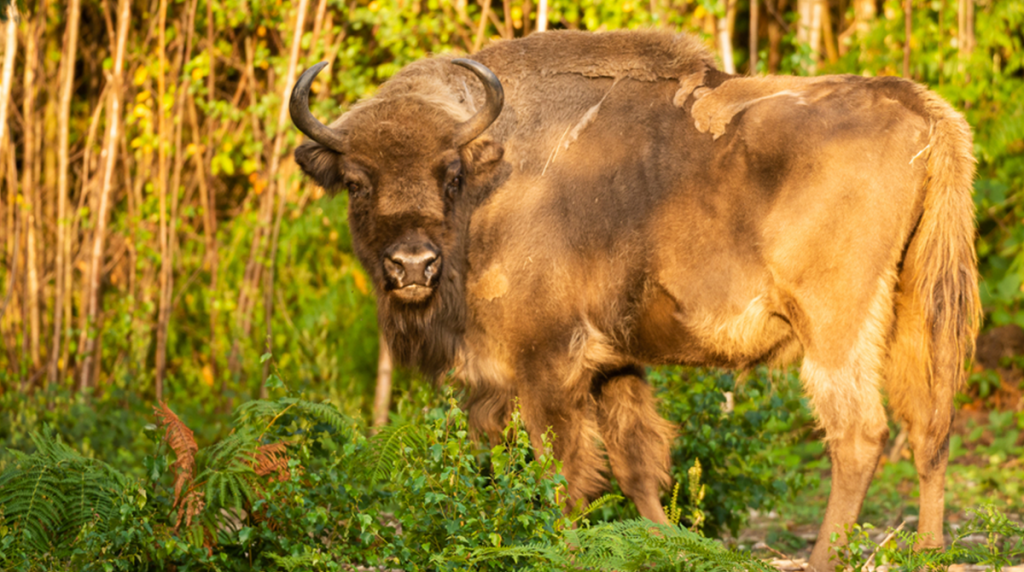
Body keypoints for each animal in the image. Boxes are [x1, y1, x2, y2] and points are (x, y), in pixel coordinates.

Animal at [290, 30, 980, 571]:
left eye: (450, 174)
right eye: (356, 181)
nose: (412, 266)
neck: (494, 179)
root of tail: (920, 107)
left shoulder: (545, 363)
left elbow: (560, 471)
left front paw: (561, 549)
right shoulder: (612, 362)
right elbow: (635, 462)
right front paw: (663, 543)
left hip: (835, 325)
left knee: (859, 435)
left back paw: (822, 559)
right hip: (915, 306)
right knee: (930, 424)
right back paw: (929, 551)